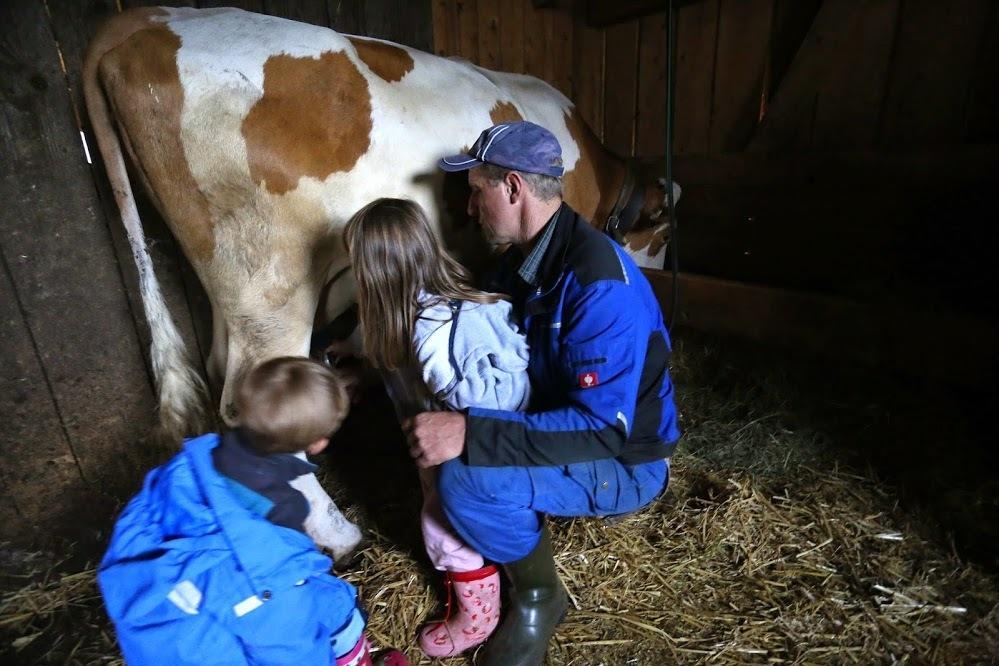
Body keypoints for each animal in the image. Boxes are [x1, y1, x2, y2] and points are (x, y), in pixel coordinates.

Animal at [84, 6, 680, 548]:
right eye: (664, 235)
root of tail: (149, 18)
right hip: (271, 283)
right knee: (245, 397)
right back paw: (336, 532)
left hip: (228, 289)